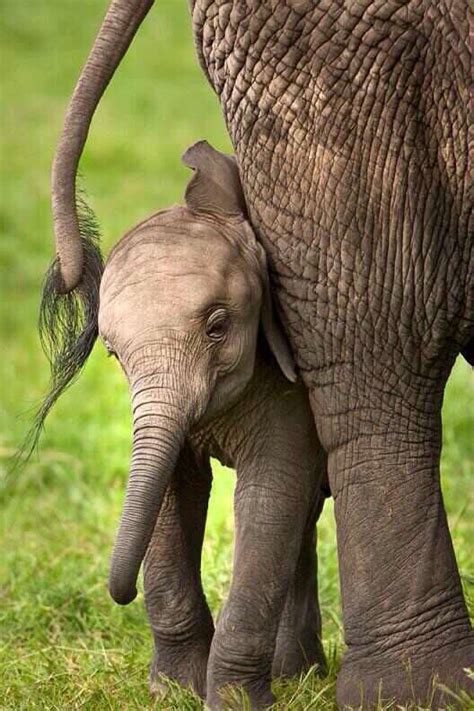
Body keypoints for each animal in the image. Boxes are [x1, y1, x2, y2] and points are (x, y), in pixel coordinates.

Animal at [98, 140, 327, 705]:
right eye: (112, 352)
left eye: (218, 327)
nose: (120, 594)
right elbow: (171, 491)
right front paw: (172, 692)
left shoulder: (293, 385)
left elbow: (270, 495)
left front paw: (235, 703)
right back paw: (298, 675)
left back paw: (296, 675)